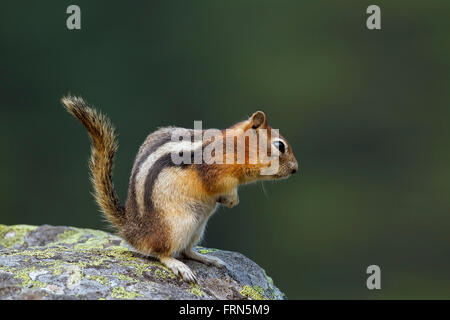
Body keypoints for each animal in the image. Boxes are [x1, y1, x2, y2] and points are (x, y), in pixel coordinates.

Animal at [61, 96, 298, 282]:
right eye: (280, 146)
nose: (296, 169)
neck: (235, 146)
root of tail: (133, 230)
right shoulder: (216, 170)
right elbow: (221, 185)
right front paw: (232, 200)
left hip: (198, 225)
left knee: (186, 250)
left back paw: (208, 258)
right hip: (178, 224)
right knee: (161, 252)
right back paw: (179, 267)